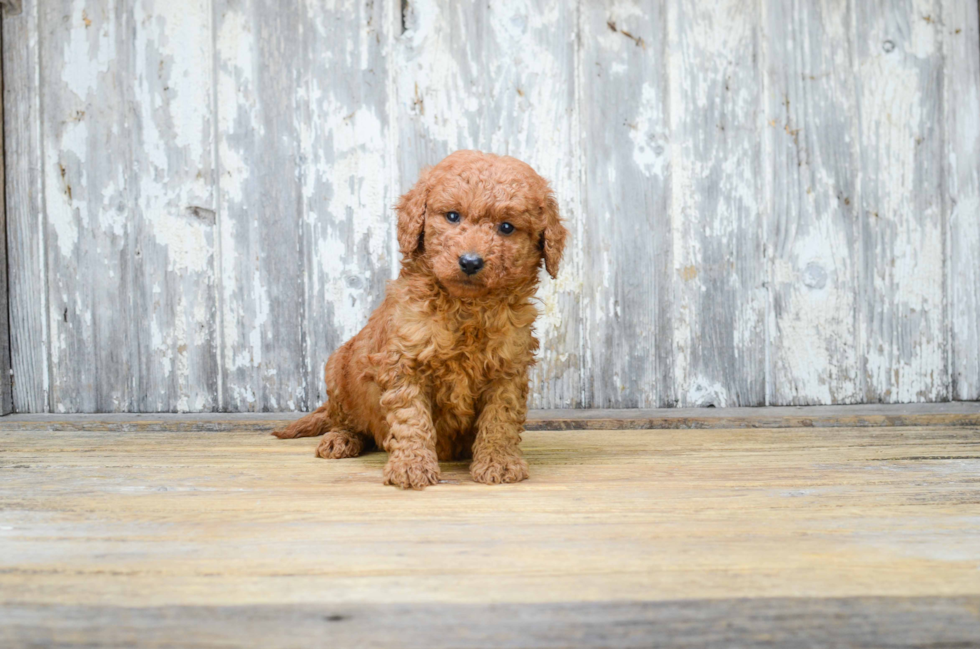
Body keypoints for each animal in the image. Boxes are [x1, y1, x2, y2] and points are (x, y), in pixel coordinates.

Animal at [274, 149, 568, 488]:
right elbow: (411, 418)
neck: (468, 307)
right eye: (452, 216)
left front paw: (499, 462)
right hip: (338, 369)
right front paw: (411, 466)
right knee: (348, 420)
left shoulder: (508, 368)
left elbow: (501, 418)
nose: (470, 262)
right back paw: (342, 439)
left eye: (506, 227)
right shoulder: (404, 363)